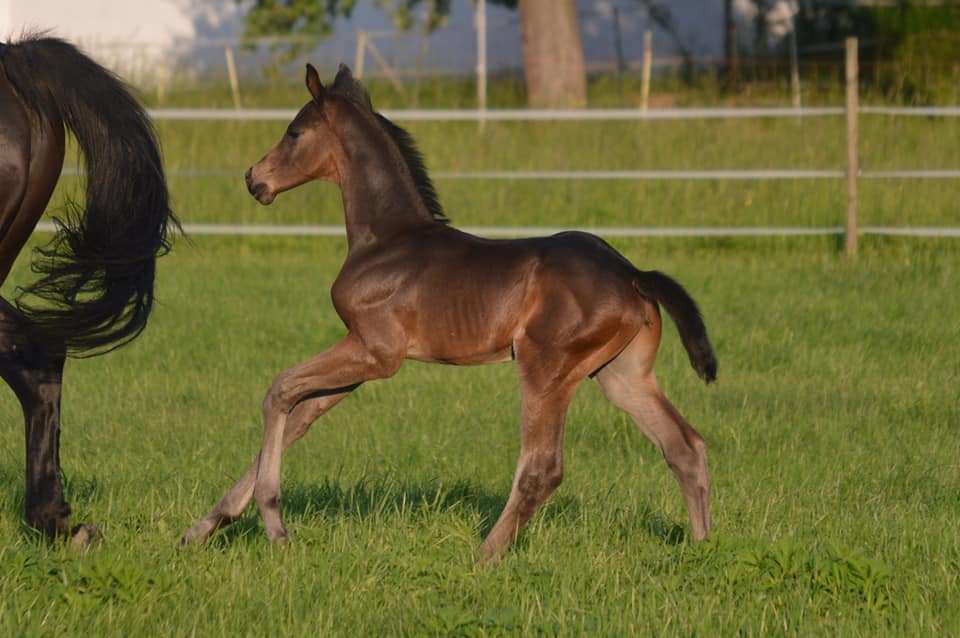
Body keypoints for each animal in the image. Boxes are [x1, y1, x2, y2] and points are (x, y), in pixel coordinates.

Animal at [184, 63, 716, 564]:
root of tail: (632, 273)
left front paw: (274, 524)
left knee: (542, 468)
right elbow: (299, 415)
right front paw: (206, 525)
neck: (386, 239)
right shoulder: (361, 361)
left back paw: (483, 557)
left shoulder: (376, 352)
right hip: (621, 374)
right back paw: (703, 547)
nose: (254, 178)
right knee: (685, 446)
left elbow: (279, 390)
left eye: (294, 132)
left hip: (546, 367)